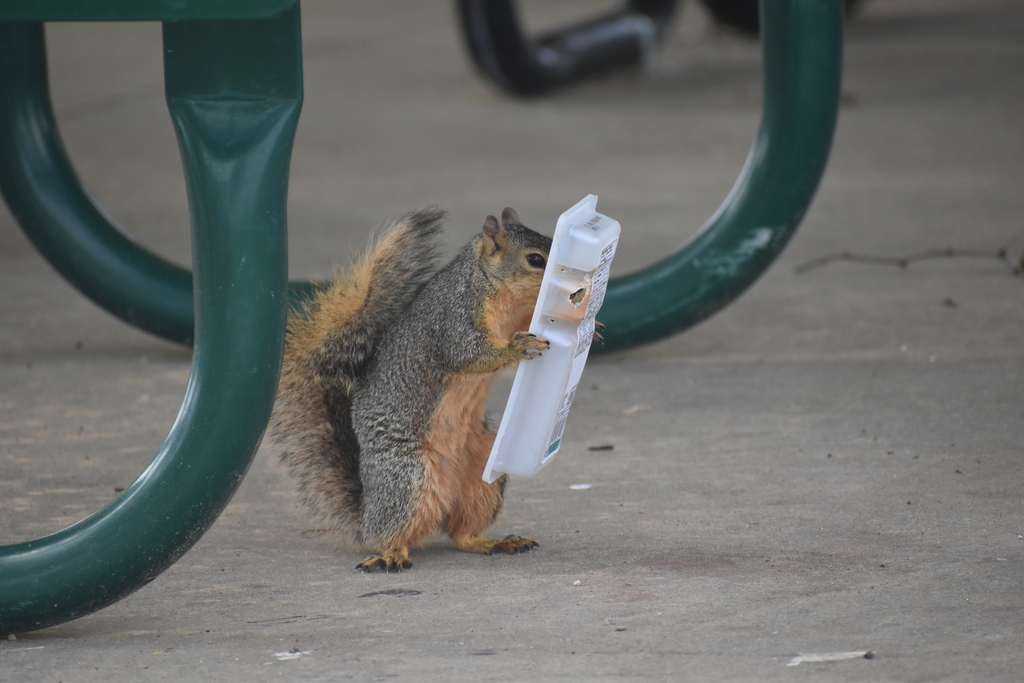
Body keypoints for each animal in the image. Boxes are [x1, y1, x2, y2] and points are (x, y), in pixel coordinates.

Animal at [272, 207, 553, 572]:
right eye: (534, 259)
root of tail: (365, 515)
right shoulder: (454, 320)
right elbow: (468, 352)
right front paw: (516, 349)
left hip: (483, 474)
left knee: (462, 534)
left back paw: (495, 542)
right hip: (407, 476)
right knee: (390, 533)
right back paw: (390, 555)